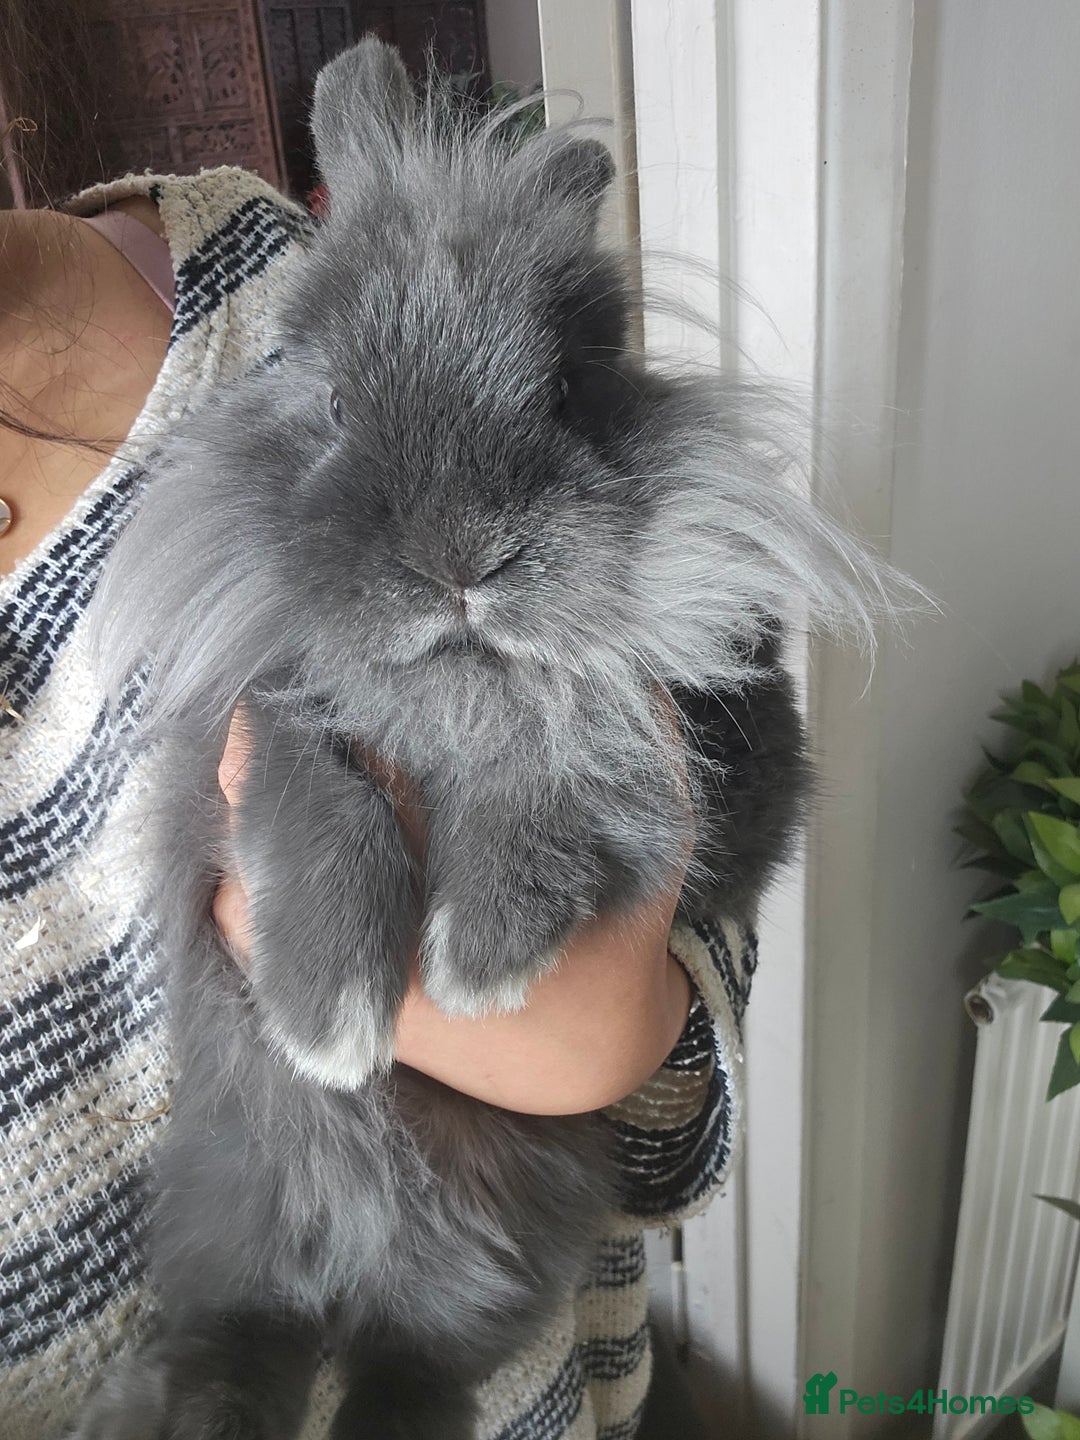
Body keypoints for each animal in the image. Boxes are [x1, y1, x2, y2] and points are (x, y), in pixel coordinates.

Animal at [75, 37, 896, 1440]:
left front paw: (478, 959)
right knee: (241, 1335)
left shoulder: (712, 759)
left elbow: (561, 772)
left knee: (414, 1365)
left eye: (568, 389)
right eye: (328, 397)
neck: (462, 683)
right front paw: (328, 1019)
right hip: (234, 1221)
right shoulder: (240, 739)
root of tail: (353, 1257)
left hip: (484, 1265)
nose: (463, 560)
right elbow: (318, 792)